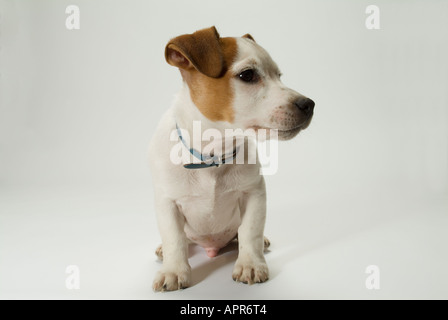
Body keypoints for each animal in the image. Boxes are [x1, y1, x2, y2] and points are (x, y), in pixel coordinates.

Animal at [149, 26, 314, 292]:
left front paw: (250, 264)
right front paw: (173, 270)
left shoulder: (254, 193)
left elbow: (250, 232)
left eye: (279, 76)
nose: (309, 104)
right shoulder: (167, 203)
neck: (214, 153)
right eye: (248, 75)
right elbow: (174, 239)